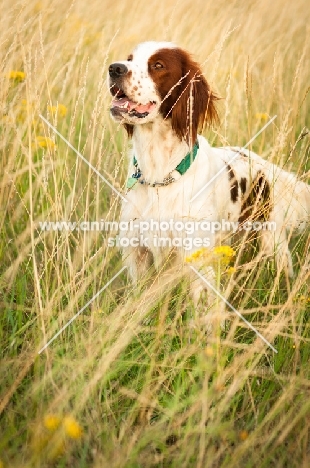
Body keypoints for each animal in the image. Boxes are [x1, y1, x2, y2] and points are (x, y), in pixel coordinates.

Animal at [107, 40, 310, 312]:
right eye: (129, 59)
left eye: (158, 65)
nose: (115, 68)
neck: (158, 171)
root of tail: (264, 166)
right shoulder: (137, 252)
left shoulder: (196, 255)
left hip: (272, 243)